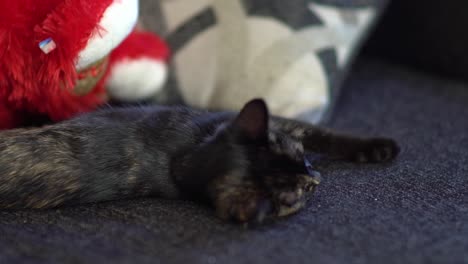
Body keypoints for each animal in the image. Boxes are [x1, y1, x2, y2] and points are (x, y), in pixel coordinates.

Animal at [0, 98, 398, 223]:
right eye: (298, 195)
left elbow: (323, 133)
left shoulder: (280, 124)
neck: (184, 158)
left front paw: (379, 147)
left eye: (299, 157)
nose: (315, 176)